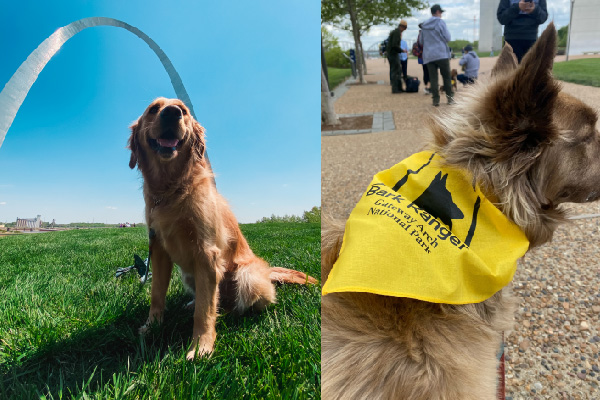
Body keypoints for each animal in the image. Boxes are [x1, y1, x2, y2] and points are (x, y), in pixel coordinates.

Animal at [128, 97, 316, 360]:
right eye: (154, 109)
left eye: (183, 111)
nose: (172, 113)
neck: (171, 189)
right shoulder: (158, 249)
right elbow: (156, 293)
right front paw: (152, 325)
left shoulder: (206, 254)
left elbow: (205, 311)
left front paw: (201, 347)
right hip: (188, 274)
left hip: (246, 277)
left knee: (233, 306)